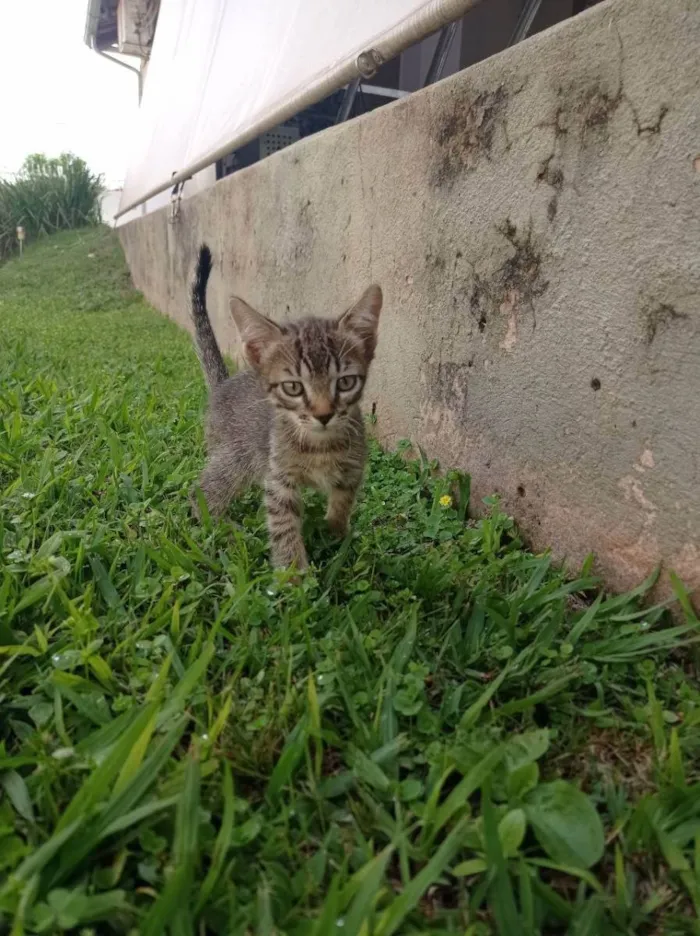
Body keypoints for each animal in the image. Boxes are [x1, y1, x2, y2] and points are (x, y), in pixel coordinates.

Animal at [191, 245, 382, 572]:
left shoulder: (352, 470)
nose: (323, 414)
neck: (320, 446)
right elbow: (283, 525)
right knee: (201, 493)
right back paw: (227, 529)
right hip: (234, 458)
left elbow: (342, 503)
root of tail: (223, 384)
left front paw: (335, 534)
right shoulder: (278, 478)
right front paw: (293, 575)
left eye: (345, 382)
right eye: (293, 387)